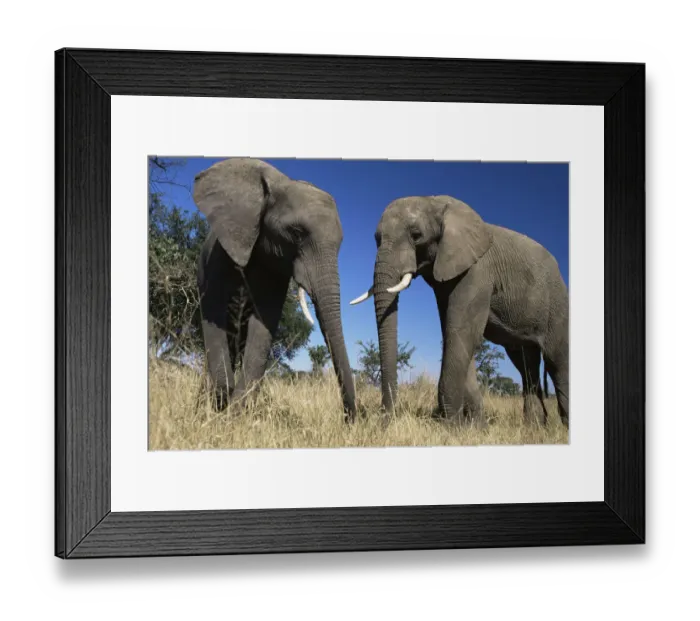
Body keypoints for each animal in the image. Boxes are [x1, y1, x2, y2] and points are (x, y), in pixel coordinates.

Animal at [193, 157, 356, 422]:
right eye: (297, 233)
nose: (348, 420)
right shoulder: (220, 251)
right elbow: (213, 309)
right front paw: (222, 404)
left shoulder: (276, 268)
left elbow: (263, 323)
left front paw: (234, 417)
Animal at [350, 195, 569, 428]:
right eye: (376, 239)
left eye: (416, 236)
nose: (384, 423)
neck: (435, 201)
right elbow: (453, 332)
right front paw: (474, 427)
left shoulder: (477, 270)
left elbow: (461, 331)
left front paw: (451, 428)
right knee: (526, 365)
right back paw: (534, 428)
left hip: (557, 302)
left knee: (557, 361)